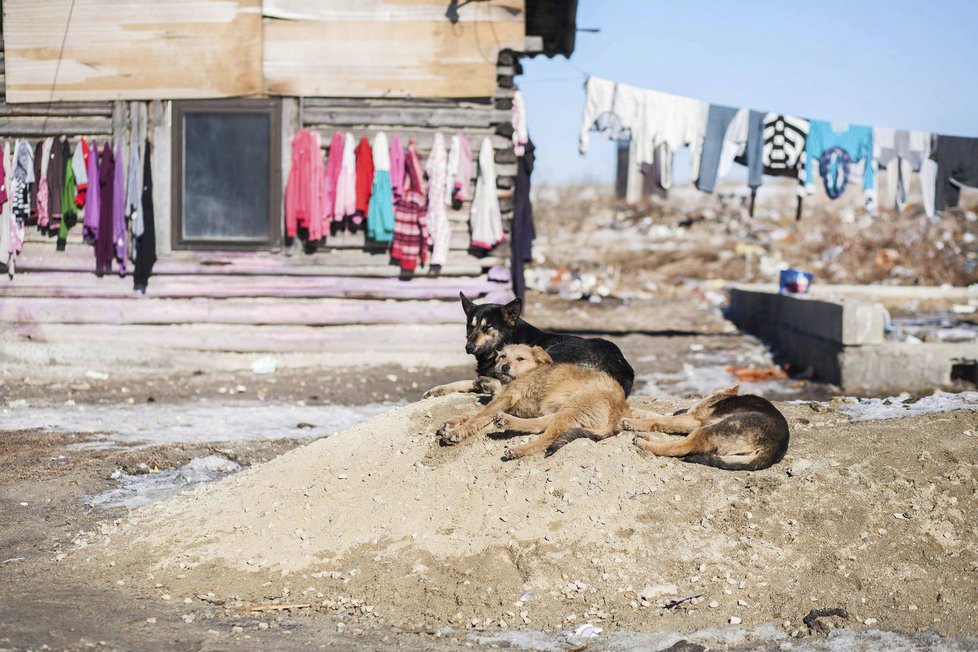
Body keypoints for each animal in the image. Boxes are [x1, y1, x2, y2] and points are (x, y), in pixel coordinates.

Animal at [436, 342, 624, 458]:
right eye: (502, 356)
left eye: (520, 358)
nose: (504, 367)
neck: (527, 372)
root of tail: (620, 406)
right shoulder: (502, 402)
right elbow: (476, 413)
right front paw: (453, 422)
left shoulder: (507, 397)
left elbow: (478, 416)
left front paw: (457, 432)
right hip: (566, 410)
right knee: (539, 425)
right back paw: (506, 421)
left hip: (574, 407)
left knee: (548, 437)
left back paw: (519, 450)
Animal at [620, 384, 788, 472]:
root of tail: (776, 447)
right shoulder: (687, 417)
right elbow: (656, 415)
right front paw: (633, 413)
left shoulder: (692, 419)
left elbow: (658, 419)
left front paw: (630, 420)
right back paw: (647, 437)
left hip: (710, 428)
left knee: (680, 447)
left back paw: (644, 443)